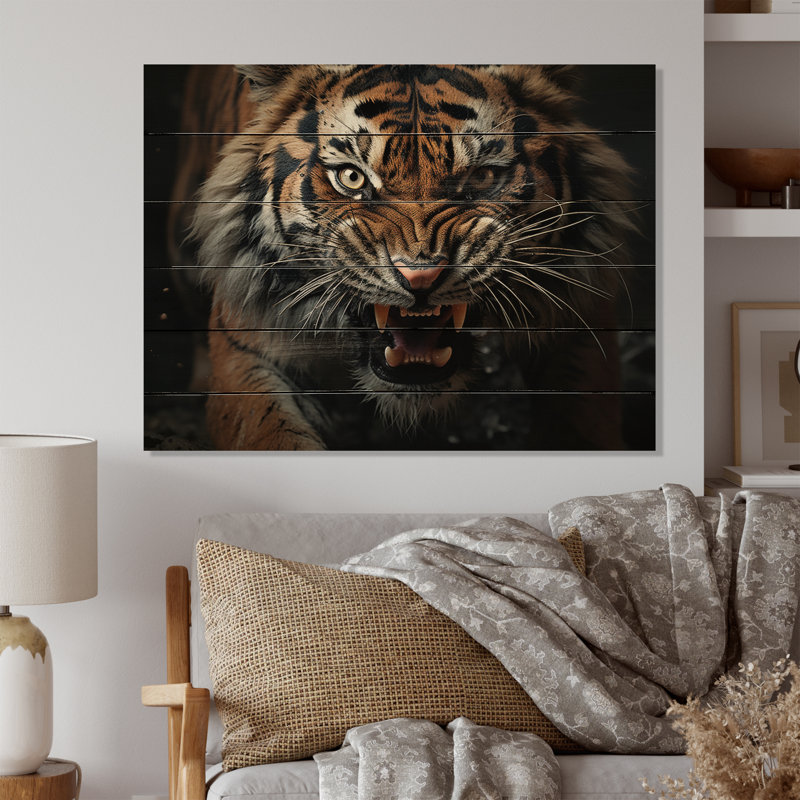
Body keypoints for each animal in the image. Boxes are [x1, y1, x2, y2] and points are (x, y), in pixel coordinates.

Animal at [175, 64, 648, 451]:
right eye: (352, 178)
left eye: (482, 176)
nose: (420, 277)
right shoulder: (247, 341)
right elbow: (269, 434)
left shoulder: (579, 321)